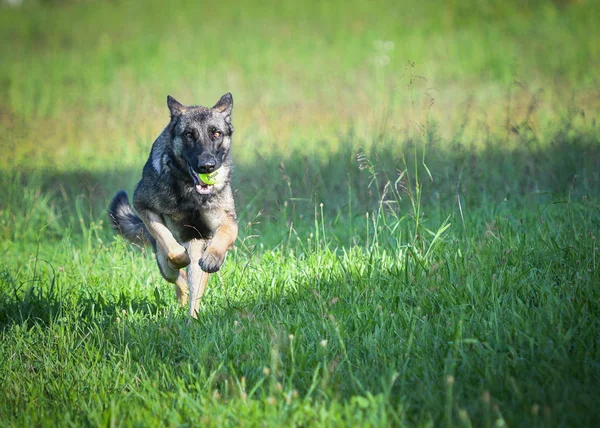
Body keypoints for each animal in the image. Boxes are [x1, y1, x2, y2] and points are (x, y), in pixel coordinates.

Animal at [109, 93, 238, 318]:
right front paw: (179, 257)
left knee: (194, 291)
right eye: (189, 135)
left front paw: (214, 257)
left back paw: (192, 318)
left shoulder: (226, 221)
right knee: (178, 278)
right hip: (163, 263)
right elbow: (168, 243)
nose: (207, 166)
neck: (189, 189)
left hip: (197, 255)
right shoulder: (144, 207)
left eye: (216, 133)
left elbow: (224, 234)